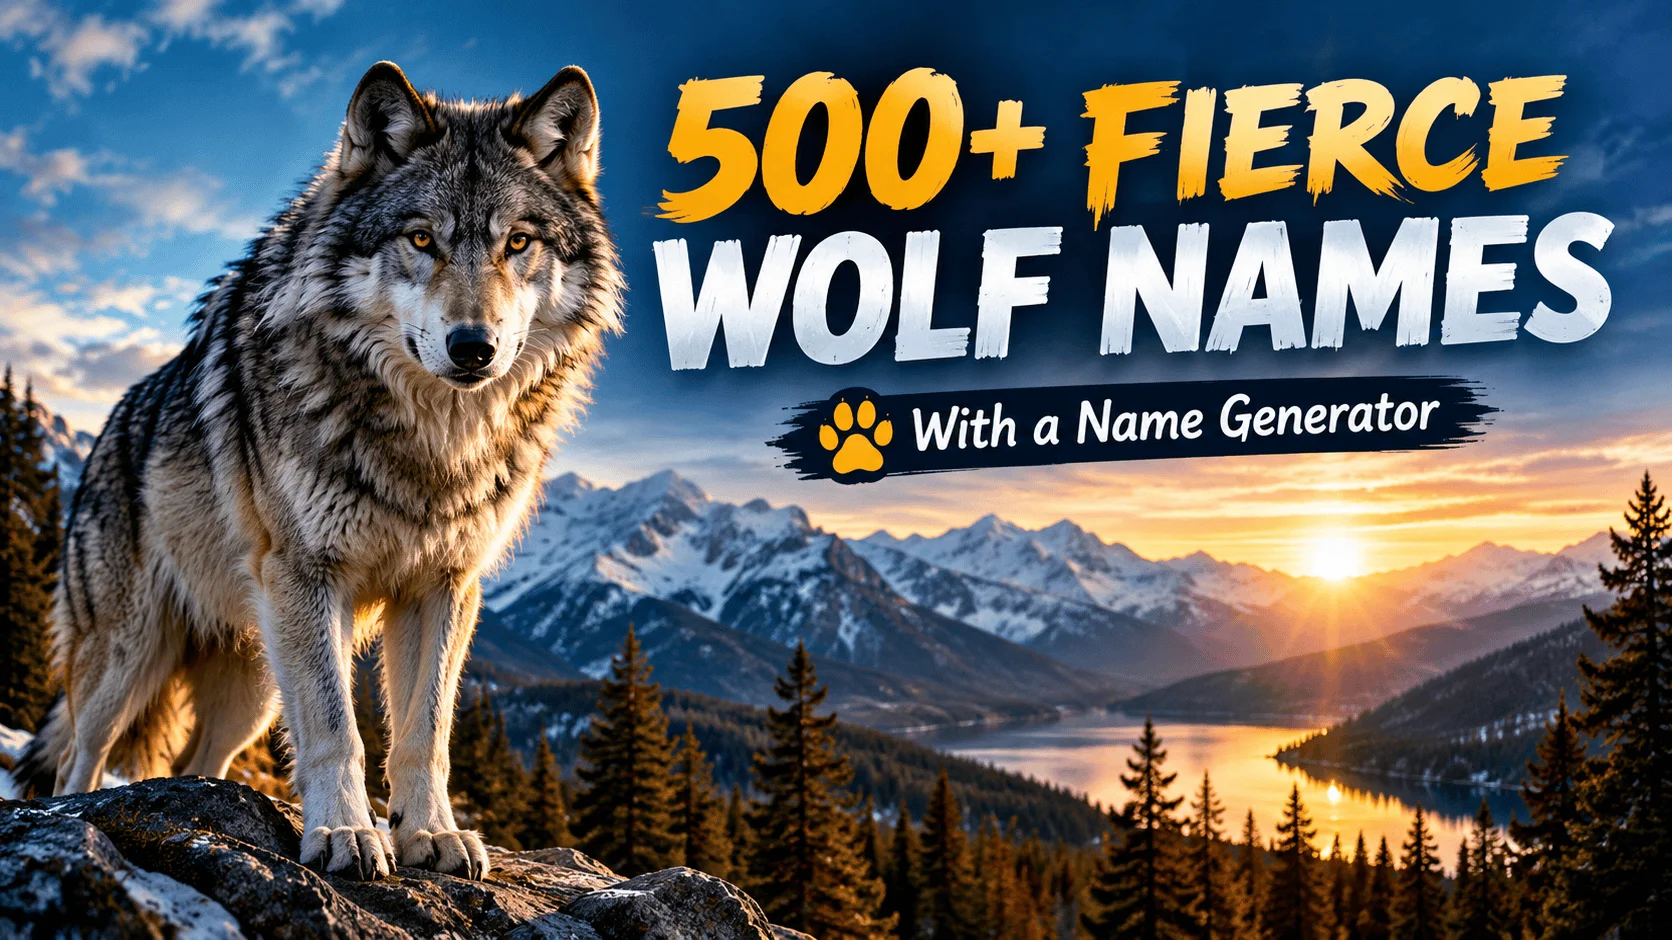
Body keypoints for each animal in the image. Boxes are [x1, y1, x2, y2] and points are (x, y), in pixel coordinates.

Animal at [16, 61, 622, 881]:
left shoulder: (444, 586)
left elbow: (425, 733)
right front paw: (344, 833)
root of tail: (108, 430)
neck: (432, 443)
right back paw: (72, 817)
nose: (473, 347)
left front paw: (431, 834)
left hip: (251, 688)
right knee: (79, 758)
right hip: (131, 656)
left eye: (518, 242)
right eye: (421, 239)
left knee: (198, 759)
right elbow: (338, 728)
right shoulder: (310, 577)